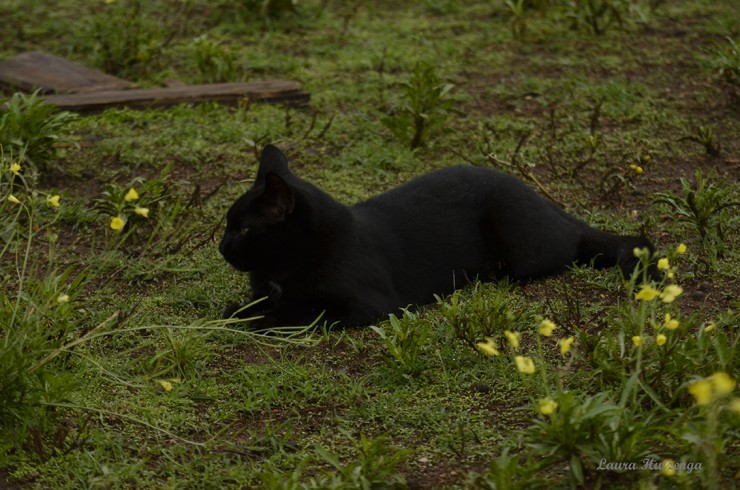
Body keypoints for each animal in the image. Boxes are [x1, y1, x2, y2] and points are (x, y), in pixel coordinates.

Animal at [218, 145, 652, 330]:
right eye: (228, 225)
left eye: (243, 229)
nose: (222, 247)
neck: (284, 264)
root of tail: (550, 204)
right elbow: (256, 303)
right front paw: (239, 310)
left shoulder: (368, 306)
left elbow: (303, 313)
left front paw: (258, 320)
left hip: (520, 240)